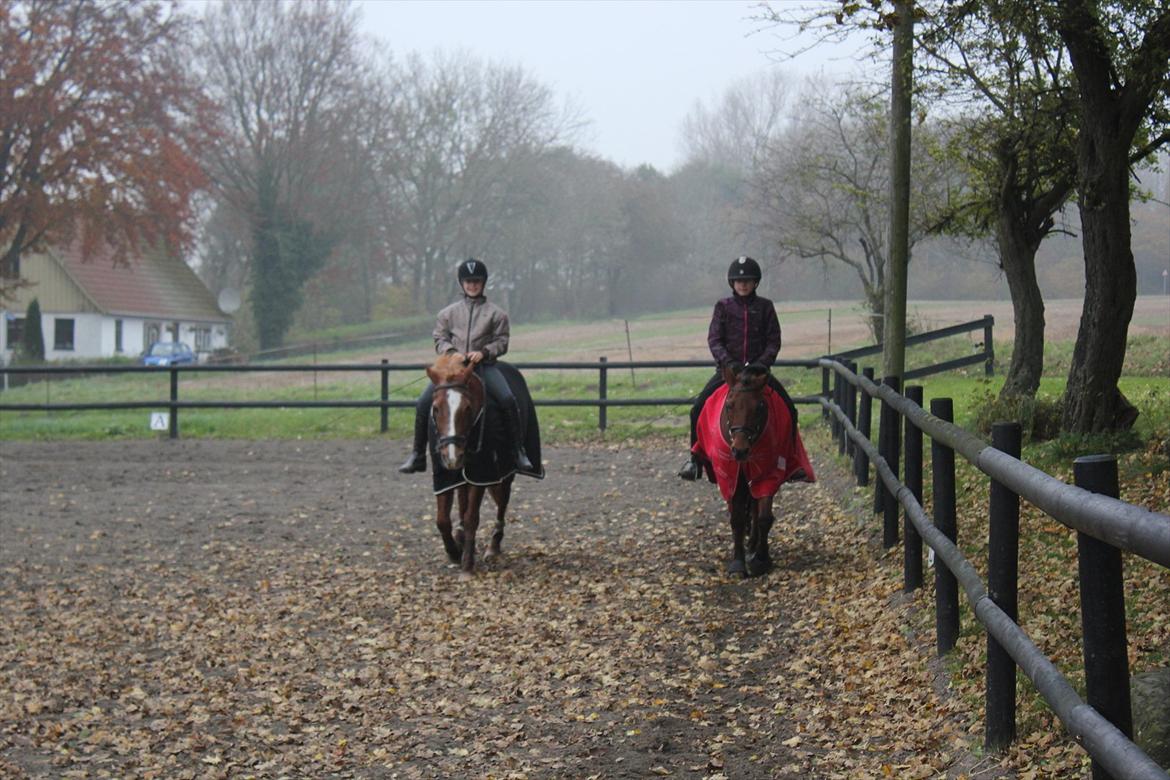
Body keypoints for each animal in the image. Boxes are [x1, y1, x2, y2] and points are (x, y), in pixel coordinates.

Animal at [423, 353, 510, 573]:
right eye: (435, 408)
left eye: (468, 408)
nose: (453, 456)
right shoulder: (443, 474)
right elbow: (442, 520)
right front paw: (454, 553)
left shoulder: (480, 474)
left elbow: (472, 518)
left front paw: (467, 565)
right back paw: (460, 538)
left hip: (505, 474)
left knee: (503, 502)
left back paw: (493, 546)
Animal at [692, 362, 814, 577]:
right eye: (729, 405)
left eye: (759, 407)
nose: (740, 450)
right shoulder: (731, 476)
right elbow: (737, 519)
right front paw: (738, 563)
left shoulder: (768, 473)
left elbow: (764, 517)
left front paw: (761, 559)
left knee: (756, 509)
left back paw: (753, 544)